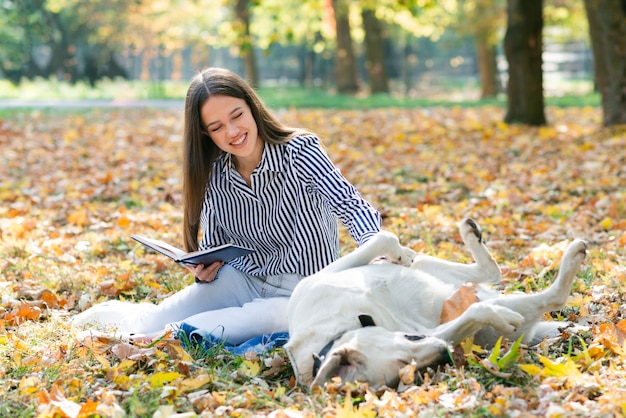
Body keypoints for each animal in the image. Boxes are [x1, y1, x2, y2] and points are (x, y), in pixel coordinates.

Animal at [282, 219, 584, 388]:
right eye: (410, 369)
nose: (445, 354)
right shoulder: (433, 331)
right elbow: (475, 313)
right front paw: (499, 316)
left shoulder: (317, 280)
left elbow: (384, 238)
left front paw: (400, 253)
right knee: (551, 295)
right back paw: (571, 257)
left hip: (431, 269)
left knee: (489, 272)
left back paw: (470, 234)